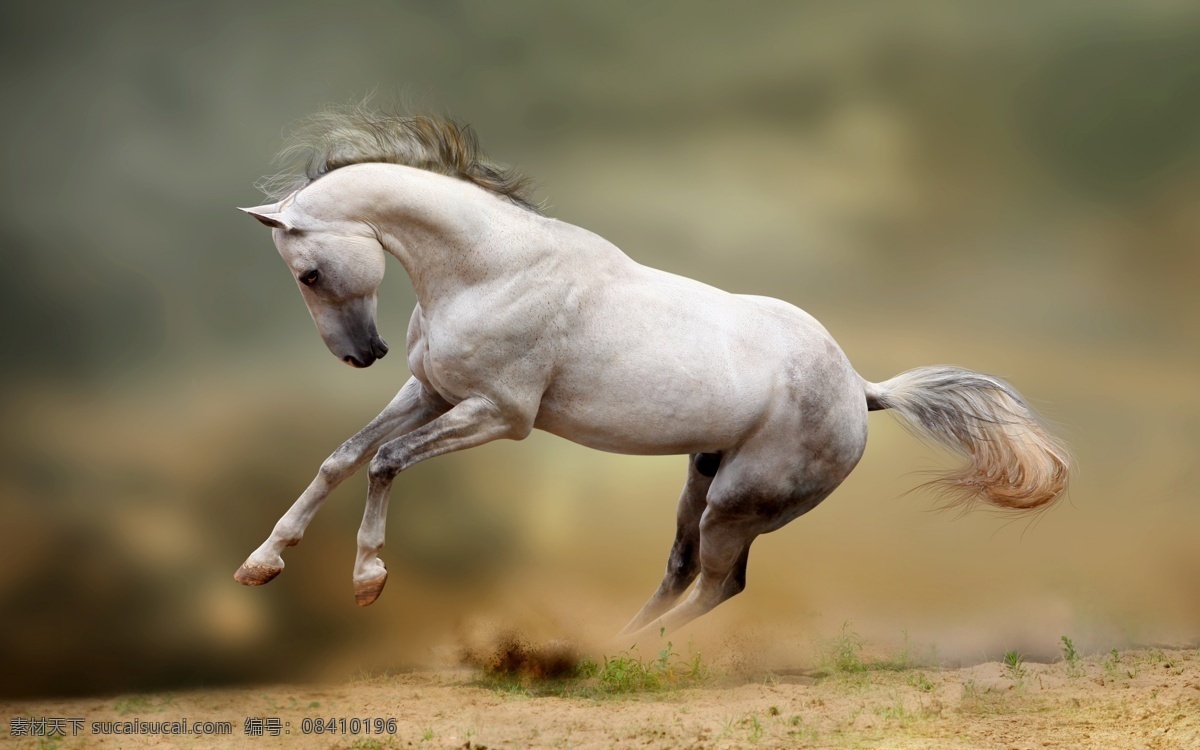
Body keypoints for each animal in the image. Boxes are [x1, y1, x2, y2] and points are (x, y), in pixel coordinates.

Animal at [235, 105, 1068, 640]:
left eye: (308, 272)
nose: (361, 354)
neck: (493, 269)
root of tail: (863, 392)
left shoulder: (500, 415)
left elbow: (385, 460)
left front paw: (368, 581)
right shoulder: (432, 391)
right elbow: (343, 456)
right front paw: (261, 564)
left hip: (739, 502)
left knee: (720, 583)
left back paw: (640, 657)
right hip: (702, 481)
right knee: (680, 569)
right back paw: (613, 649)